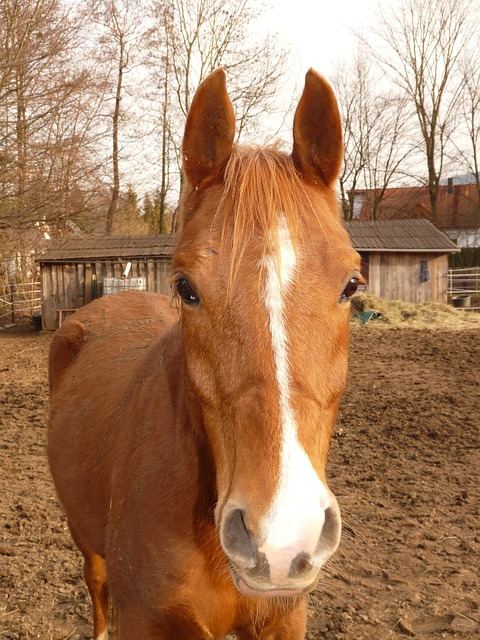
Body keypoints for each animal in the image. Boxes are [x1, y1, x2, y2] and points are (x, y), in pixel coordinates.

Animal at [47, 67, 360, 636]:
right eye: (186, 288)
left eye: (351, 284)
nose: (281, 539)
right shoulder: (148, 618)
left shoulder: (284, 618)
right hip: (84, 535)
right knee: (95, 582)